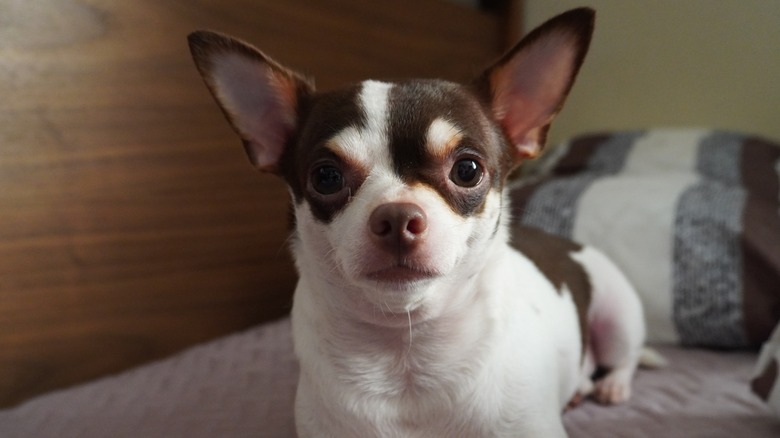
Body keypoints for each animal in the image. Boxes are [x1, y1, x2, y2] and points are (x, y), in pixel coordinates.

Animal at [187, 8, 644, 436]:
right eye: (326, 177)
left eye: (467, 171)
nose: (396, 216)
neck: (406, 353)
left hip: (617, 314)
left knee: (625, 356)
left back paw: (611, 386)